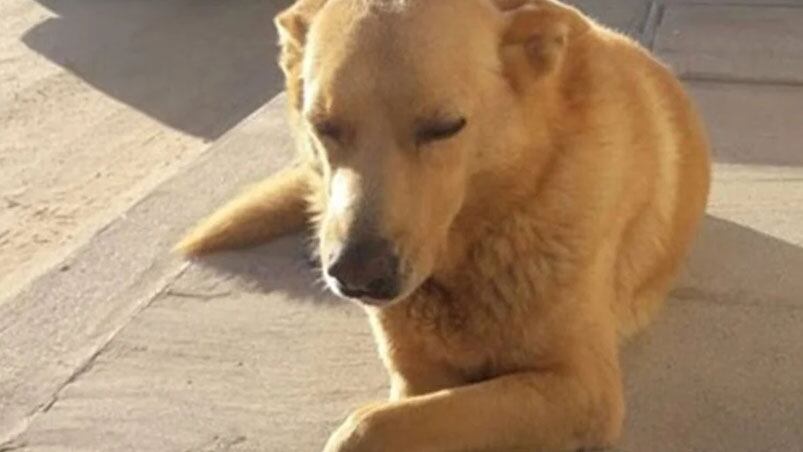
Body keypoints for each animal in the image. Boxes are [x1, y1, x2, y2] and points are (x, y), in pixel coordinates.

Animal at [176, 1, 708, 450]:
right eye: (322, 125)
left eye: (444, 127)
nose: (356, 275)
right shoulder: (417, 377)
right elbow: (393, 417)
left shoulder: (581, 388)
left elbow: (365, 426)